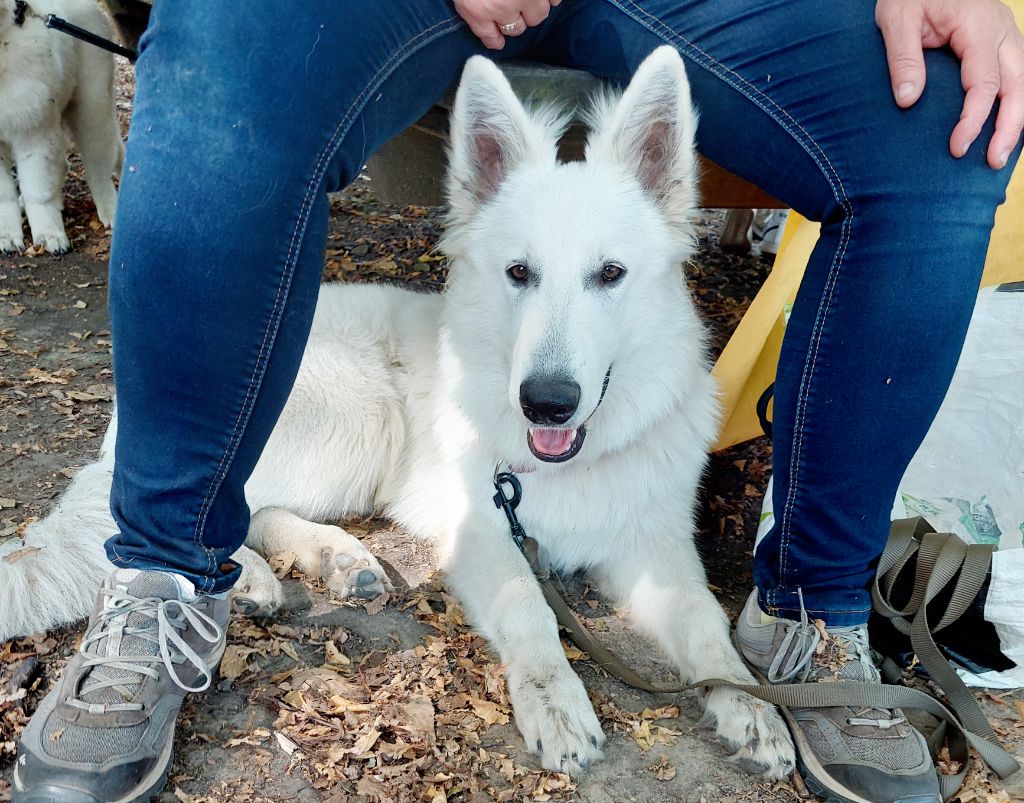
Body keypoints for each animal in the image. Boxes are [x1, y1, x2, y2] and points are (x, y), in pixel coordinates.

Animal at [0, 0, 121, 252]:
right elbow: (4, 194)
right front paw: (7, 235)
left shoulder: (34, 130)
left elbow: (38, 191)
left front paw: (50, 236)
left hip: (91, 105)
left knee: (99, 164)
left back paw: (110, 212)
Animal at [0, 48, 794, 778]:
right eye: (518, 273)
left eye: (611, 274)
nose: (545, 400)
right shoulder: (486, 532)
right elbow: (531, 609)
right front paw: (556, 701)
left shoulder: (655, 550)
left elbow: (707, 626)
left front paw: (751, 705)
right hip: (359, 419)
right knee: (226, 508)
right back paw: (261, 574)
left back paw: (330, 562)